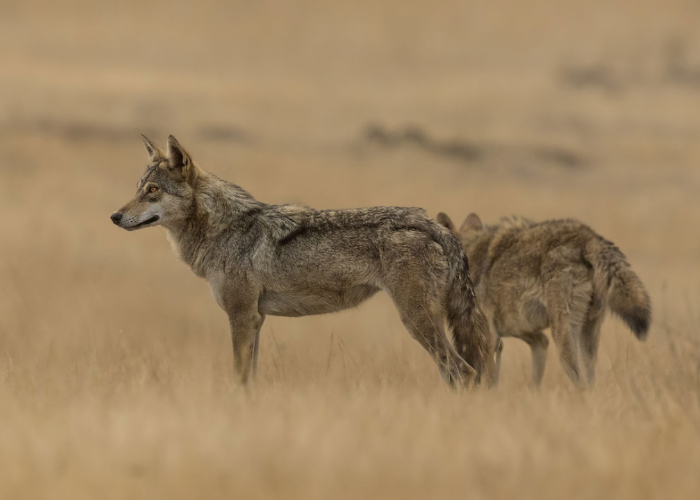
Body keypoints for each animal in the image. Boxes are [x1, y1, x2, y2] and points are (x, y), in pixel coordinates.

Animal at [110, 135, 496, 387]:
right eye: (138, 188)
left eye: (153, 191)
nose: (114, 216)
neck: (223, 229)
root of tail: (433, 225)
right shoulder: (257, 320)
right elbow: (250, 380)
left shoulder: (242, 316)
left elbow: (239, 378)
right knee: (456, 373)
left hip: (416, 322)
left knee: (464, 372)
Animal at [436, 212, 651, 387]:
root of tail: (588, 236)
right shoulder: (536, 338)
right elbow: (533, 379)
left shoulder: (490, 338)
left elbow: (488, 380)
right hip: (587, 335)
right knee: (590, 382)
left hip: (564, 336)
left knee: (580, 382)